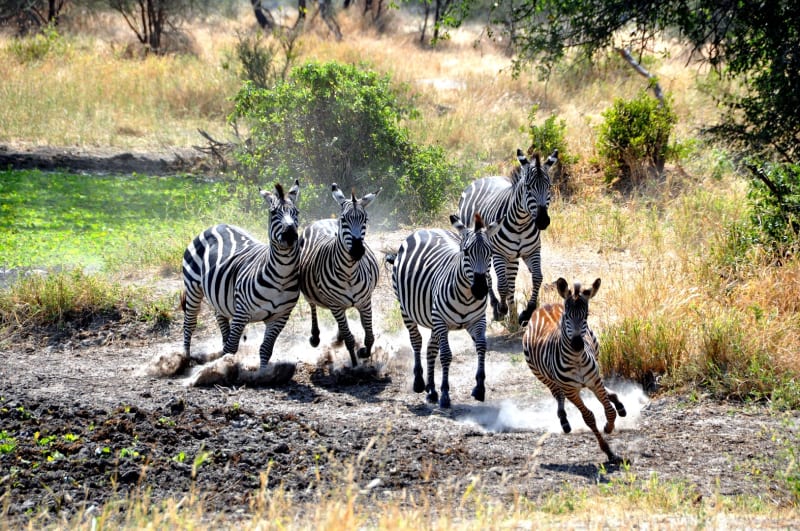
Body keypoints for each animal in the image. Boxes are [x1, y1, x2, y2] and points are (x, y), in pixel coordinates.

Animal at [180, 180, 301, 375]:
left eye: (296, 212)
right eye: (273, 213)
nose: (290, 235)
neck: (281, 278)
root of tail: (218, 225)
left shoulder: (280, 317)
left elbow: (266, 348)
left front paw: (264, 374)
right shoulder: (242, 312)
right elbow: (232, 347)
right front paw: (223, 369)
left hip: (219, 297)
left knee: (220, 318)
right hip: (192, 287)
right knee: (189, 324)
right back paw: (184, 358)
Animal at [298, 183, 381, 367]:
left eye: (365, 220)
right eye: (344, 220)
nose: (357, 251)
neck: (349, 272)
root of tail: (321, 220)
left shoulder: (365, 302)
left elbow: (370, 337)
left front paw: (364, 352)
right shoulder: (335, 305)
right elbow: (350, 339)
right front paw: (355, 364)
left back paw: (339, 336)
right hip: (310, 292)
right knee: (312, 305)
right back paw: (316, 336)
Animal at [387, 213, 499, 409]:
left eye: (491, 253)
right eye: (466, 252)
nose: (480, 290)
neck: (466, 297)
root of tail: (426, 229)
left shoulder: (477, 320)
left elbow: (481, 346)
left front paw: (479, 388)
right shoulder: (442, 321)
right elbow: (446, 355)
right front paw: (446, 395)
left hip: (433, 320)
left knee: (431, 348)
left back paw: (431, 391)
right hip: (407, 310)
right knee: (416, 341)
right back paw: (419, 383)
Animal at [458, 148, 558, 326]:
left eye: (549, 186)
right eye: (528, 187)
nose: (542, 221)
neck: (521, 224)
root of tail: (486, 177)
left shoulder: (532, 251)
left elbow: (537, 277)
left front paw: (526, 312)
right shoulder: (499, 254)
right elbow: (502, 285)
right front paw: (502, 309)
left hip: (512, 257)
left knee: (510, 281)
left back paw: (513, 314)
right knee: (491, 278)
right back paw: (497, 306)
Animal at [522, 277, 627, 463]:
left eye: (586, 316)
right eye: (567, 316)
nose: (577, 344)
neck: (577, 359)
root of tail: (545, 306)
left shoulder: (594, 381)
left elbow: (609, 411)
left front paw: (608, 426)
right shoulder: (571, 391)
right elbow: (589, 417)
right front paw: (607, 450)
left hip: (596, 356)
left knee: (605, 391)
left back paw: (617, 402)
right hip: (541, 375)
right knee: (557, 393)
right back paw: (564, 420)